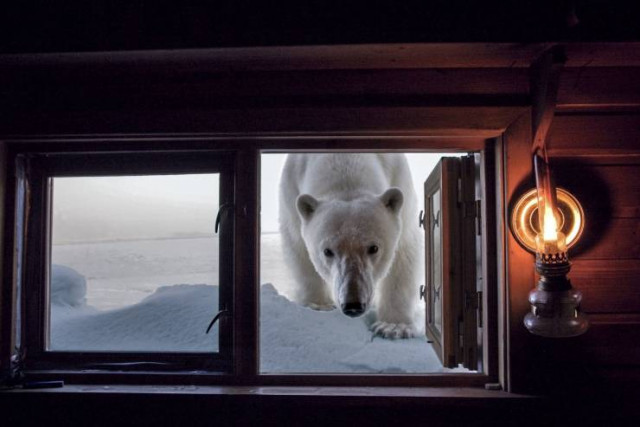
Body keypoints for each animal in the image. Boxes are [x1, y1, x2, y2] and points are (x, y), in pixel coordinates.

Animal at [278, 154, 422, 338]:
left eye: (374, 248)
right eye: (327, 251)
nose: (353, 305)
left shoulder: (400, 180)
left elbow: (403, 253)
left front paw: (393, 326)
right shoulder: (290, 189)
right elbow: (298, 247)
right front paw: (319, 304)